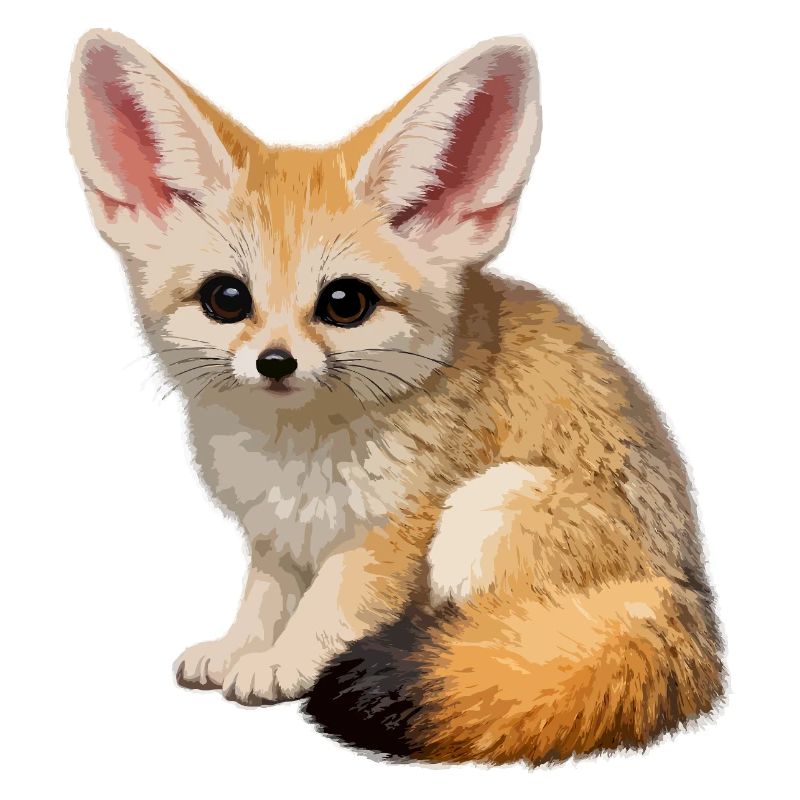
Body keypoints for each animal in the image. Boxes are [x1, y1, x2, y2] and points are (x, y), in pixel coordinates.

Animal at [67, 29, 723, 765]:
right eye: (226, 298)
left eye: (344, 303)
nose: (275, 362)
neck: (294, 454)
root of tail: (687, 594)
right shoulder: (275, 536)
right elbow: (264, 600)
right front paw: (240, 646)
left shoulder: (389, 533)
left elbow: (329, 610)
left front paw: (283, 662)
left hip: (489, 507)